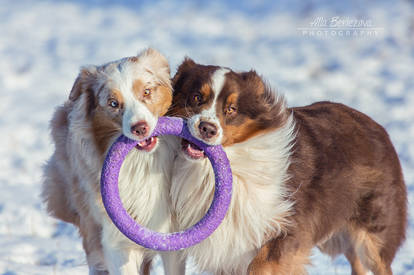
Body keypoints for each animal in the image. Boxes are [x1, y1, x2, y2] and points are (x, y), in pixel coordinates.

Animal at [42, 48, 184, 274]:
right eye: (113, 103)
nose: (140, 128)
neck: (142, 163)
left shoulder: (171, 235)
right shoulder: (115, 240)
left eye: (146, 92)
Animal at [167, 58, 406, 275]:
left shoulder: (288, 226)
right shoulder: (226, 250)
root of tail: (378, 128)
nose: (207, 128)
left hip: (373, 235)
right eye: (196, 97)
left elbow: (260, 266)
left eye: (231, 109)